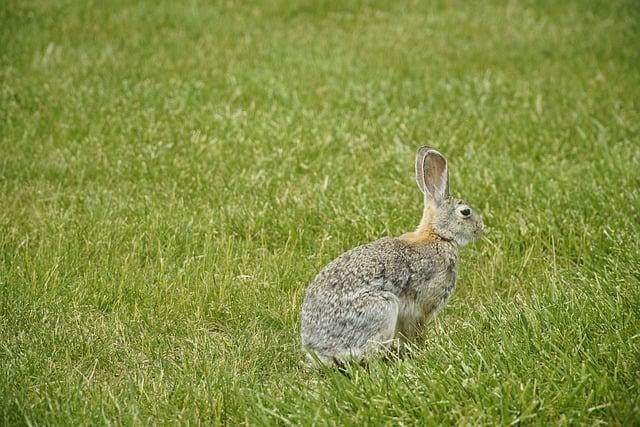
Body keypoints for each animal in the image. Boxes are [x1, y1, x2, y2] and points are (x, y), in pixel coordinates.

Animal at [300, 147, 484, 368]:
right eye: (465, 212)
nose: (481, 228)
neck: (438, 234)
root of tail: (321, 351)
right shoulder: (423, 306)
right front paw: (421, 349)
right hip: (383, 309)